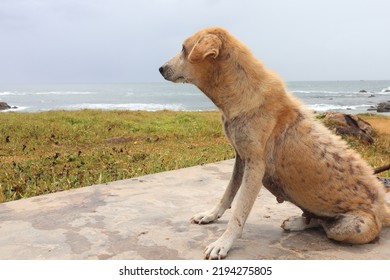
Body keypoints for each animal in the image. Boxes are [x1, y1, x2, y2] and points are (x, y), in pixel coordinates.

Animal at [159, 27, 390, 260]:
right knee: (317, 220)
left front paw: (223, 243)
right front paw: (211, 215)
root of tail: (384, 210)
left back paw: (300, 223)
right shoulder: (240, 158)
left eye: (184, 49)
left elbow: (238, 213)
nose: (160, 69)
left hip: (349, 228)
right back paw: (298, 222)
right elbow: (227, 194)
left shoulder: (255, 166)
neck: (241, 91)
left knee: (325, 225)